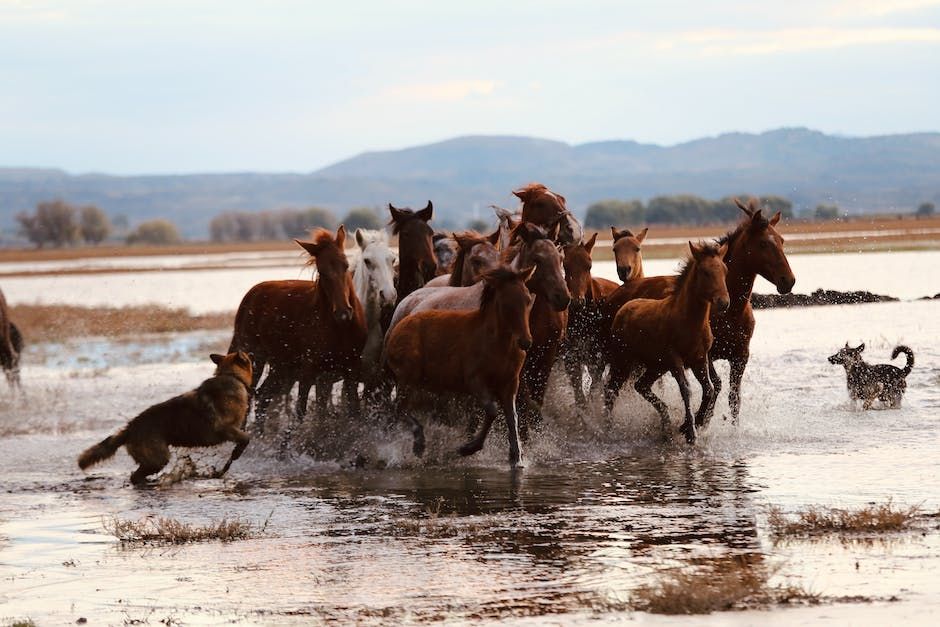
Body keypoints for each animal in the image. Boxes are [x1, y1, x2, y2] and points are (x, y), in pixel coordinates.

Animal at [228, 226, 367, 435]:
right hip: (254, 357)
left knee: (263, 396)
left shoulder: (351, 368)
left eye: (346, 264)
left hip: (281, 366)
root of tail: (250, 295)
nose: (343, 313)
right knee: (251, 396)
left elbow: (354, 410)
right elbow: (300, 412)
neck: (339, 330)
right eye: (321, 271)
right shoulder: (309, 370)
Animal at [384, 265, 536, 467]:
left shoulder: (510, 383)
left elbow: (512, 418)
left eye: (527, 299)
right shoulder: (475, 380)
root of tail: (394, 329)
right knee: (398, 408)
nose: (525, 342)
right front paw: (468, 448)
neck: (496, 344)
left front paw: (516, 457)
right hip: (408, 377)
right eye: (506, 304)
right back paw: (418, 444)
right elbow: (492, 410)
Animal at [603, 242, 729, 444]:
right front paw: (691, 433)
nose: (723, 302)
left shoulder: (699, 359)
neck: (689, 321)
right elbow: (686, 389)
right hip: (623, 361)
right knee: (611, 389)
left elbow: (709, 389)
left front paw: (690, 425)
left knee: (641, 386)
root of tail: (622, 309)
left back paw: (666, 424)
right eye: (705, 272)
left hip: (656, 366)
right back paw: (607, 427)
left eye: (725, 270)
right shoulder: (675, 358)